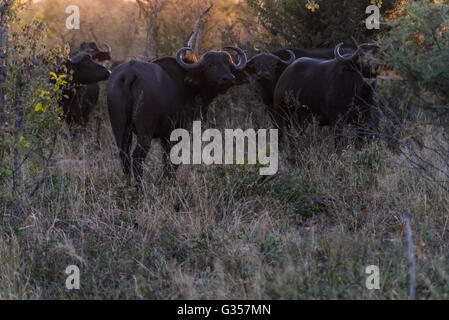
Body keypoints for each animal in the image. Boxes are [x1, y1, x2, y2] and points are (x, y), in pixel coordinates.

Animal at [107, 46, 248, 184]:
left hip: (120, 129)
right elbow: (174, 159)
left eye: (228, 64)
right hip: (145, 131)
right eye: (210, 64)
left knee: (124, 155)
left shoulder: (165, 136)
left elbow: (166, 158)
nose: (228, 78)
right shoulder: (179, 131)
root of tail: (129, 73)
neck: (189, 86)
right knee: (137, 157)